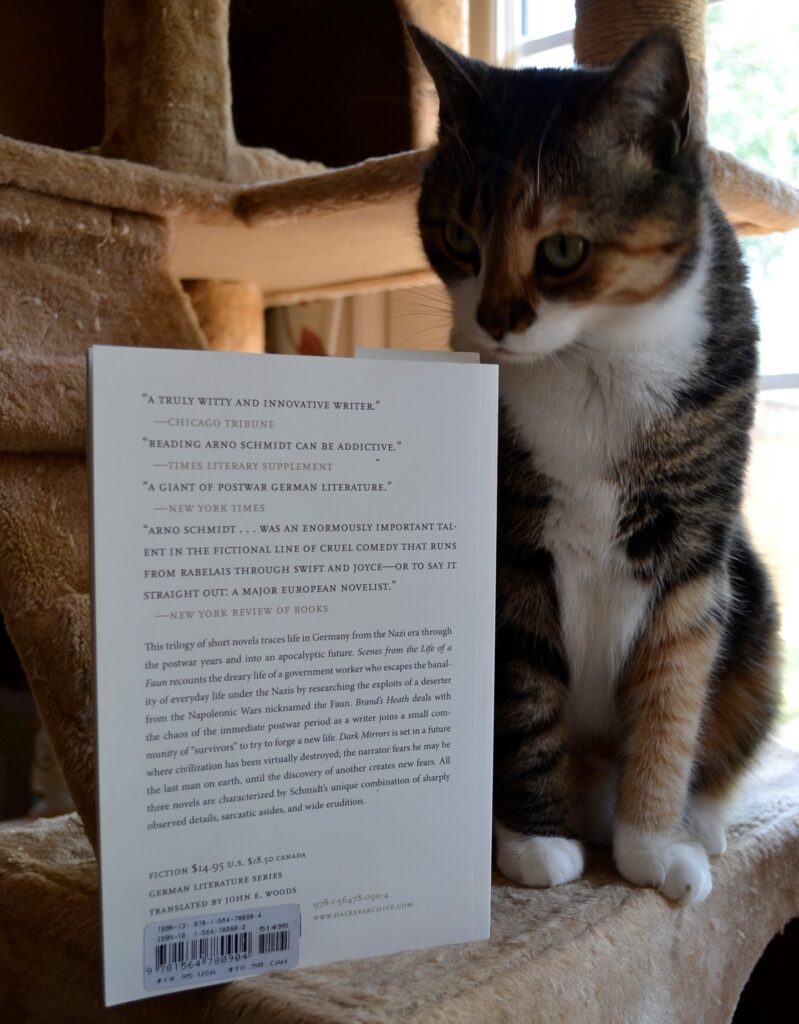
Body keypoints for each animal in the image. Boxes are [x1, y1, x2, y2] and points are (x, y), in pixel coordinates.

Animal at [409, 24, 782, 905]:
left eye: (562, 249)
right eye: (458, 239)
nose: (492, 322)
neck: (590, 360)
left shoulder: (692, 548)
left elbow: (672, 689)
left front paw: (651, 845)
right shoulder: (511, 550)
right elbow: (523, 691)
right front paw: (536, 843)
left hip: (754, 608)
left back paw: (697, 823)